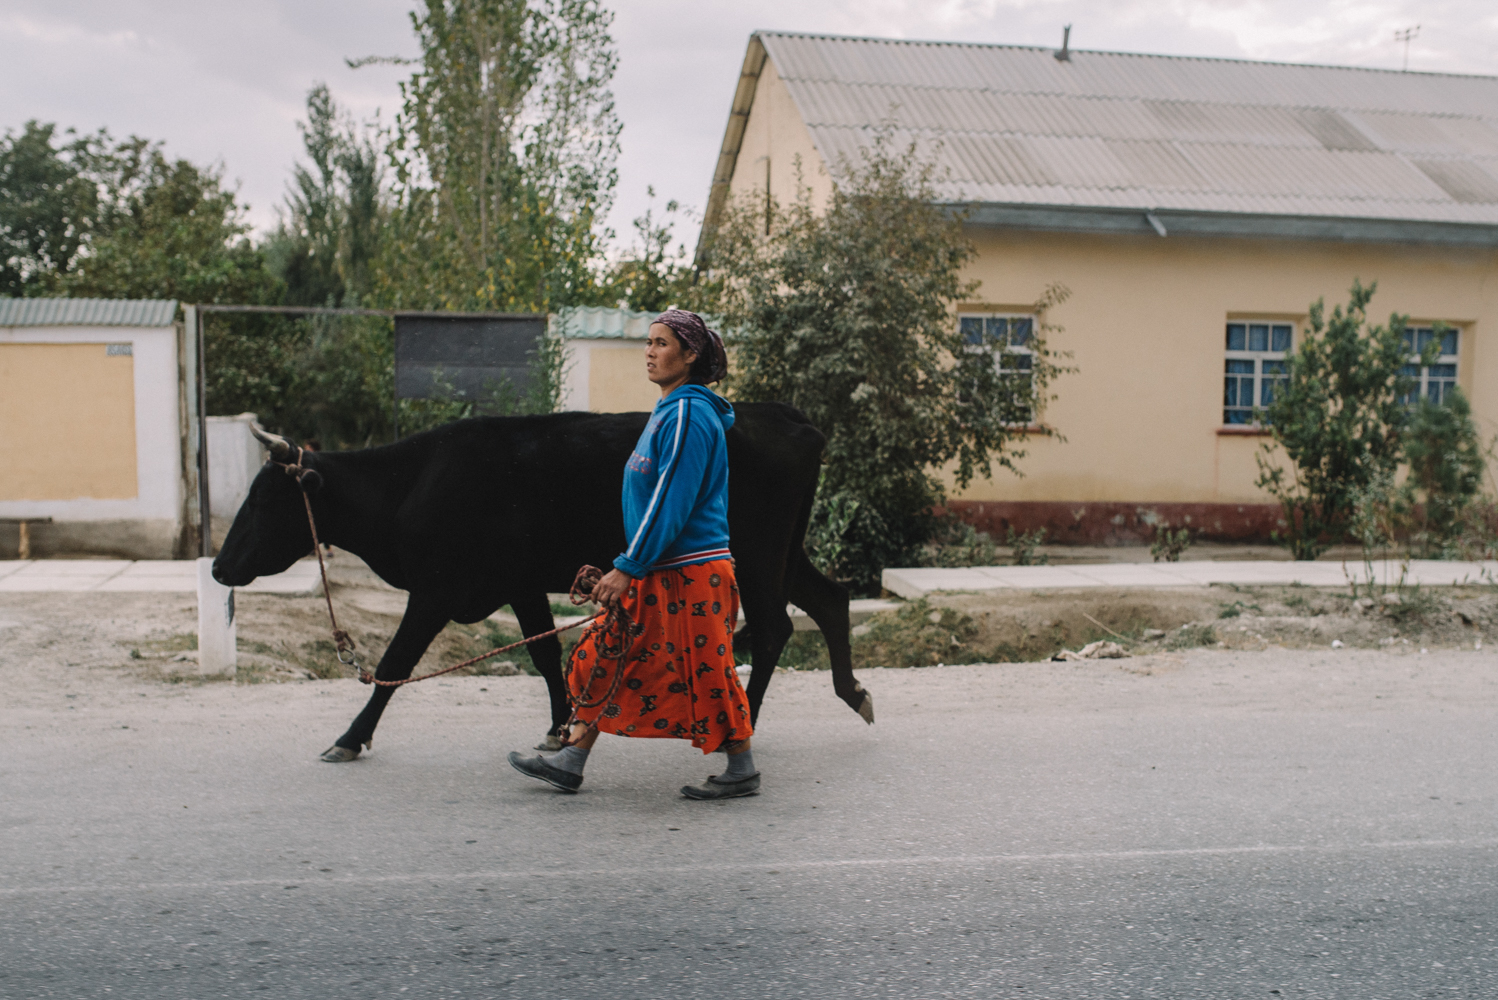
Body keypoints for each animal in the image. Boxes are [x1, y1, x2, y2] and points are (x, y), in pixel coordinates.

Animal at [205, 401, 874, 760]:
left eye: (263, 500)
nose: (217, 566)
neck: (409, 485)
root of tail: (788, 417)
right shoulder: (518, 584)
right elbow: (547, 655)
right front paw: (558, 728)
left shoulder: (436, 590)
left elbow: (395, 663)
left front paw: (348, 737)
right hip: (785, 554)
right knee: (828, 600)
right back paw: (851, 692)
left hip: (757, 556)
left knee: (773, 628)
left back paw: (747, 719)